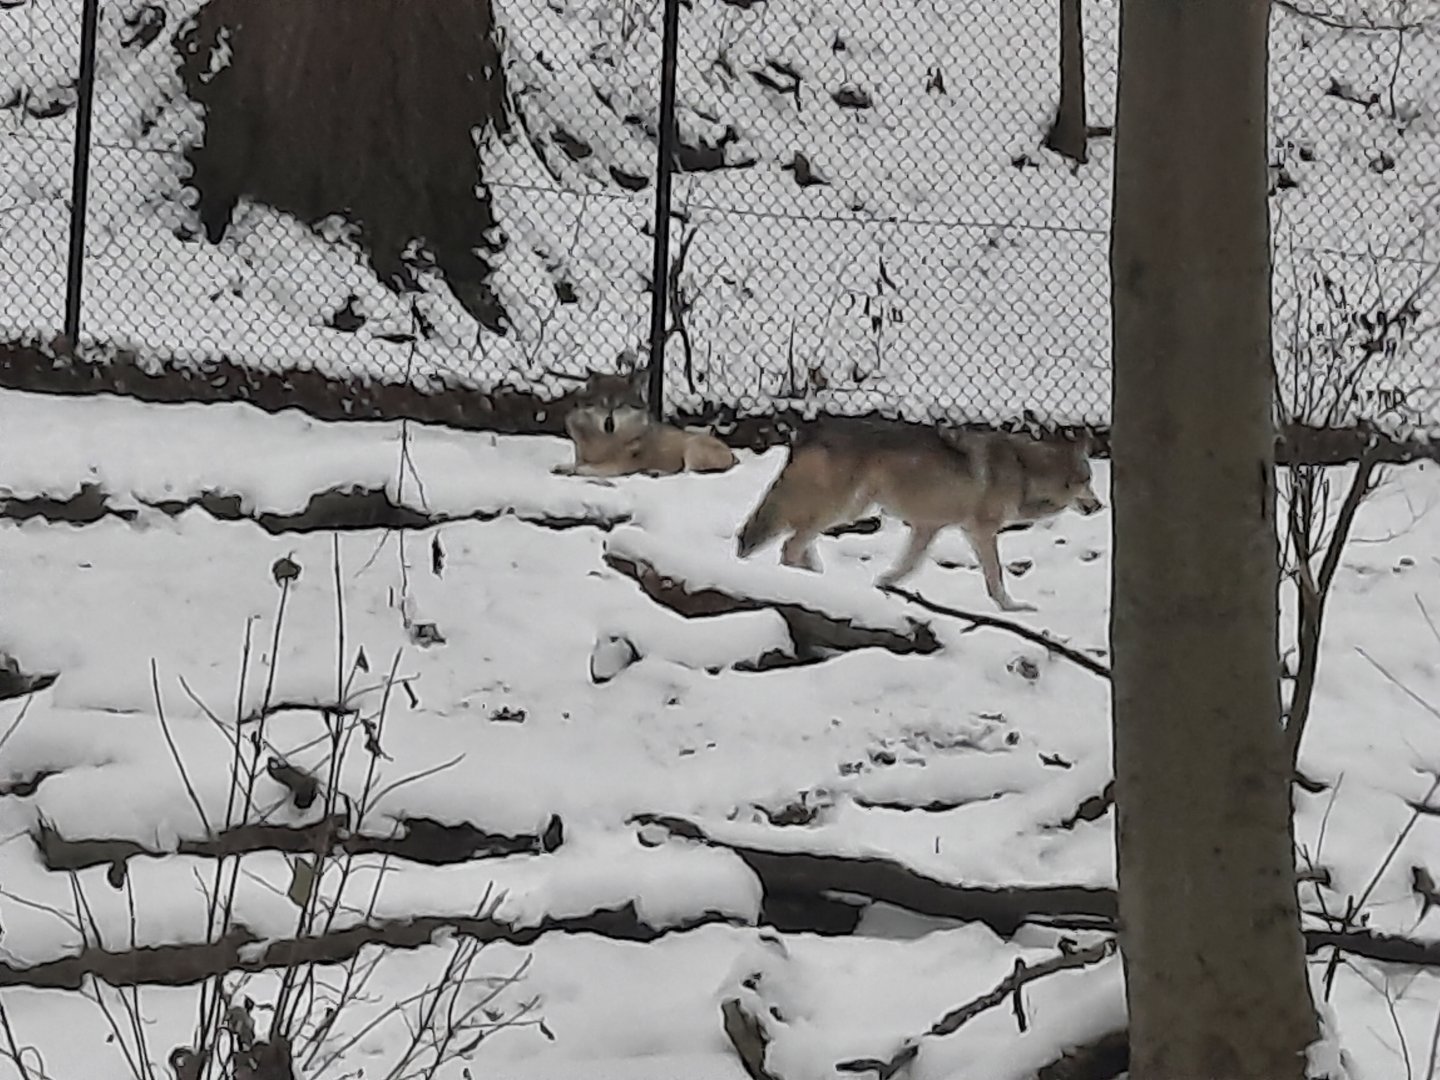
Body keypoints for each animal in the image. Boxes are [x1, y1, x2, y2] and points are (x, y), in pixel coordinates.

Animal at [552, 368, 737, 478]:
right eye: (602, 405)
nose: (609, 424)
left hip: (692, 448)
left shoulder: (620, 465)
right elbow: (578, 463)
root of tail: (732, 454)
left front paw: (578, 470)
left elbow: (588, 468)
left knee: (684, 472)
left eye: (620, 406)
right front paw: (565, 467)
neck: (606, 441)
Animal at [734, 418, 1103, 611]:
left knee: (796, 541)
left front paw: (882, 583)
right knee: (790, 545)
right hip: (839, 506)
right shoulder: (980, 531)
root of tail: (805, 432)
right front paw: (1012, 608)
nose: (1100, 506)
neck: (1025, 469)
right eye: (1087, 480)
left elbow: (909, 566)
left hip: (847, 508)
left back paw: (818, 578)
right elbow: (996, 577)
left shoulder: (928, 527)